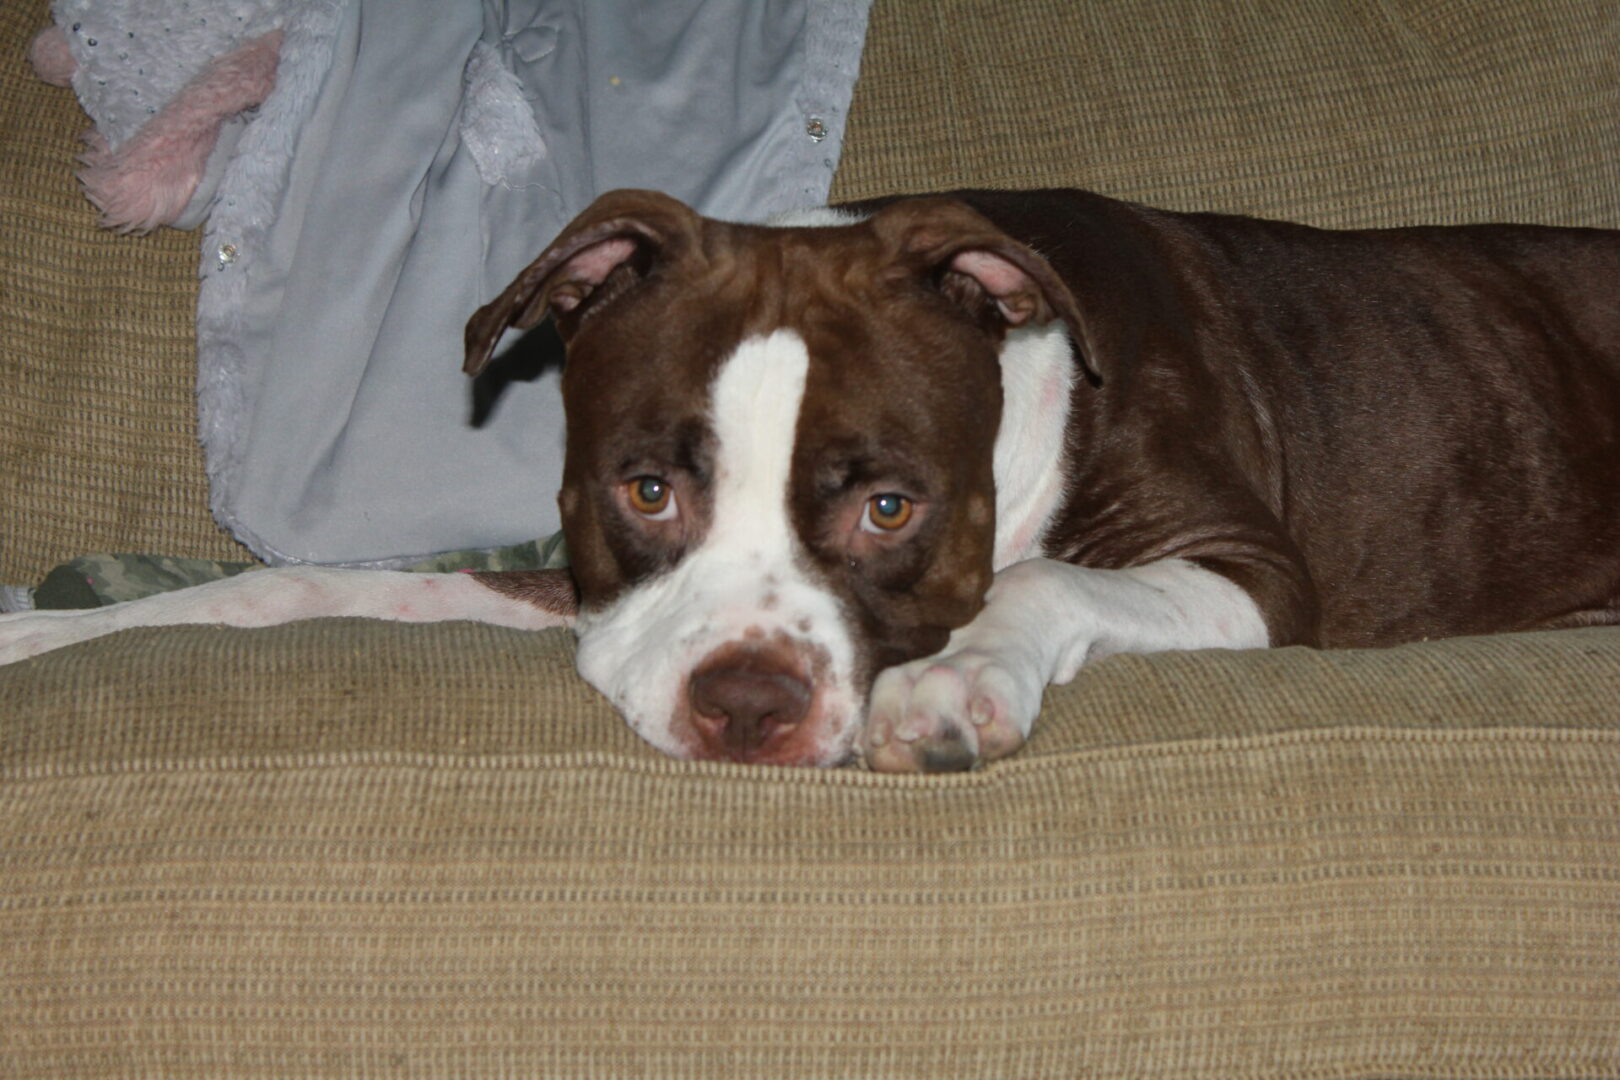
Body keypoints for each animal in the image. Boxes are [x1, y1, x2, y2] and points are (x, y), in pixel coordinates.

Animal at [3, 191, 1620, 767]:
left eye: (888, 506)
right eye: (648, 492)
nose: (747, 707)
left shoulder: (1246, 564)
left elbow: (1041, 573)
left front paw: (951, 684)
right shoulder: (587, 584)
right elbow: (294, 591)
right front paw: (46, 630)